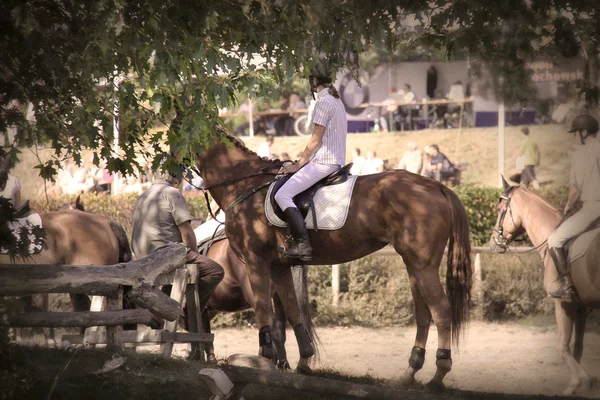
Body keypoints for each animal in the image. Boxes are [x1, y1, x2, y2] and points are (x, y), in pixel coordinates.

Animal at [195, 129, 472, 390]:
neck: (245, 186)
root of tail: (436, 186)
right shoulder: (280, 266)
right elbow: (293, 311)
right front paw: (304, 361)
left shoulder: (256, 262)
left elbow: (264, 311)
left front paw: (265, 361)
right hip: (412, 265)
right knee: (423, 313)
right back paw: (410, 372)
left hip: (423, 266)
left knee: (441, 311)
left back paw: (438, 376)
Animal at [490, 180, 596, 396]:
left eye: (499, 209)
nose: (492, 243)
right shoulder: (581, 307)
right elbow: (577, 346)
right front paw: (574, 384)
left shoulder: (563, 304)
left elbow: (562, 347)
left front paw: (583, 380)